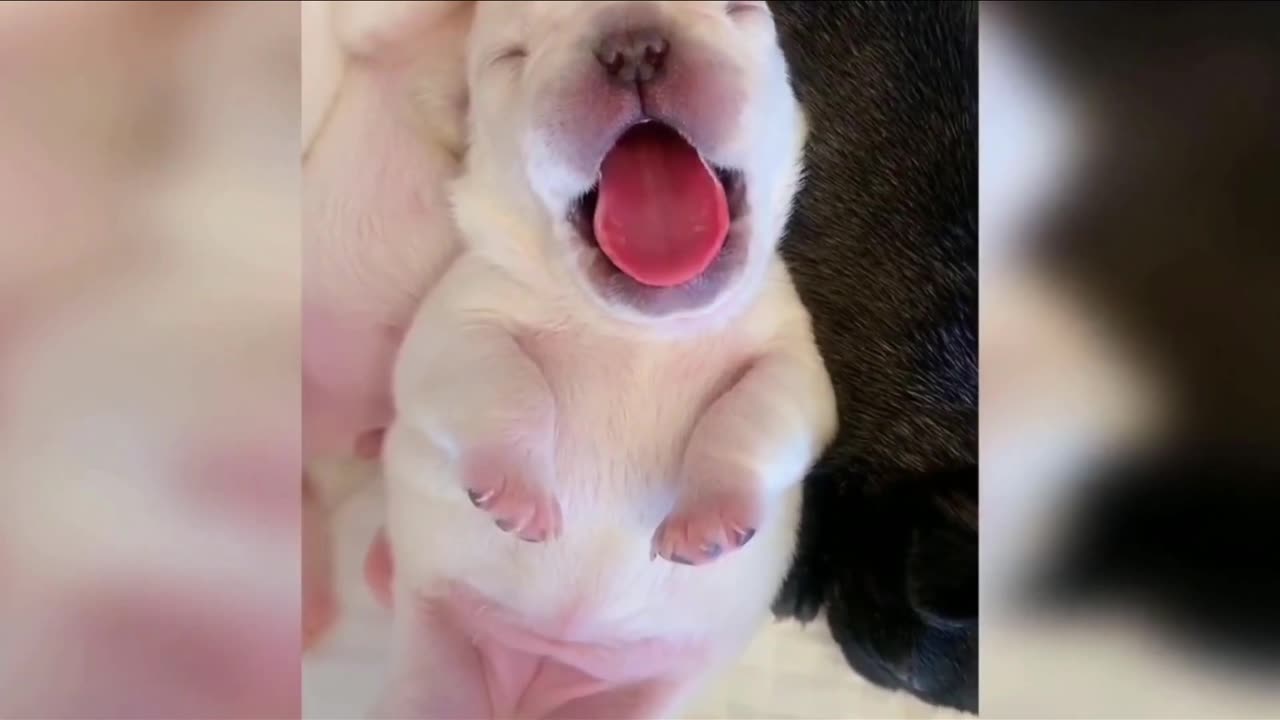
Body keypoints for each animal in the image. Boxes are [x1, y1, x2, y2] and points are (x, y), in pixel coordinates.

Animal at [376, 2, 839, 712]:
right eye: (509, 57)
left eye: (739, 11)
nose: (634, 46)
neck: (636, 329)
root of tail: (535, 681)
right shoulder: (456, 324)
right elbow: (504, 385)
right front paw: (518, 492)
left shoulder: (790, 357)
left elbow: (755, 417)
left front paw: (709, 519)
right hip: (435, 658)